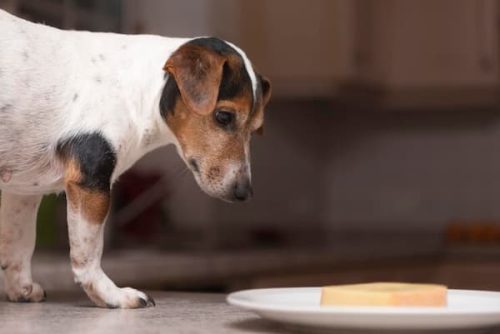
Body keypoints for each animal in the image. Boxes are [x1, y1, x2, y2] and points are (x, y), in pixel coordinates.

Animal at [0, 9, 270, 308]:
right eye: (224, 116)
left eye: (256, 128)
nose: (244, 193)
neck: (140, 89)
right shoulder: (90, 182)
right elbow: (88, 254)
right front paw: (111, 295)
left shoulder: (23, 191)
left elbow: (19, 244)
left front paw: (21, 288)